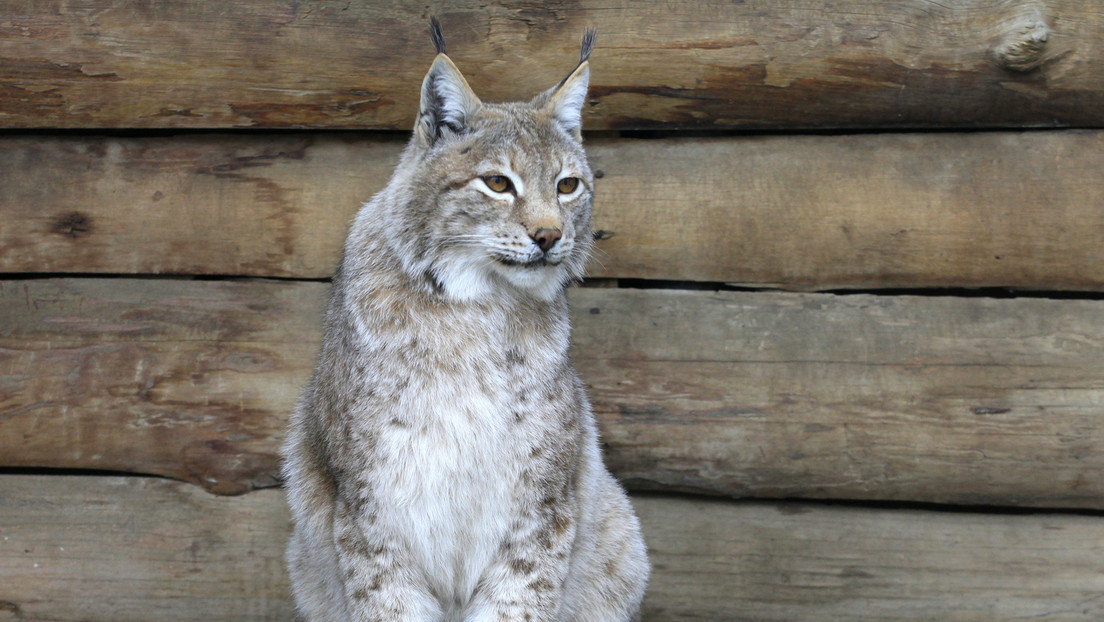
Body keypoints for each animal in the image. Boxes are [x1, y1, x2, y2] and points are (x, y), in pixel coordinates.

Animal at [280, 17, 649, 618]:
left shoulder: (541, 505)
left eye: (567, 186)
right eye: (497, 183)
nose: (550, 237)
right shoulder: (371, 508)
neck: (476, 308)